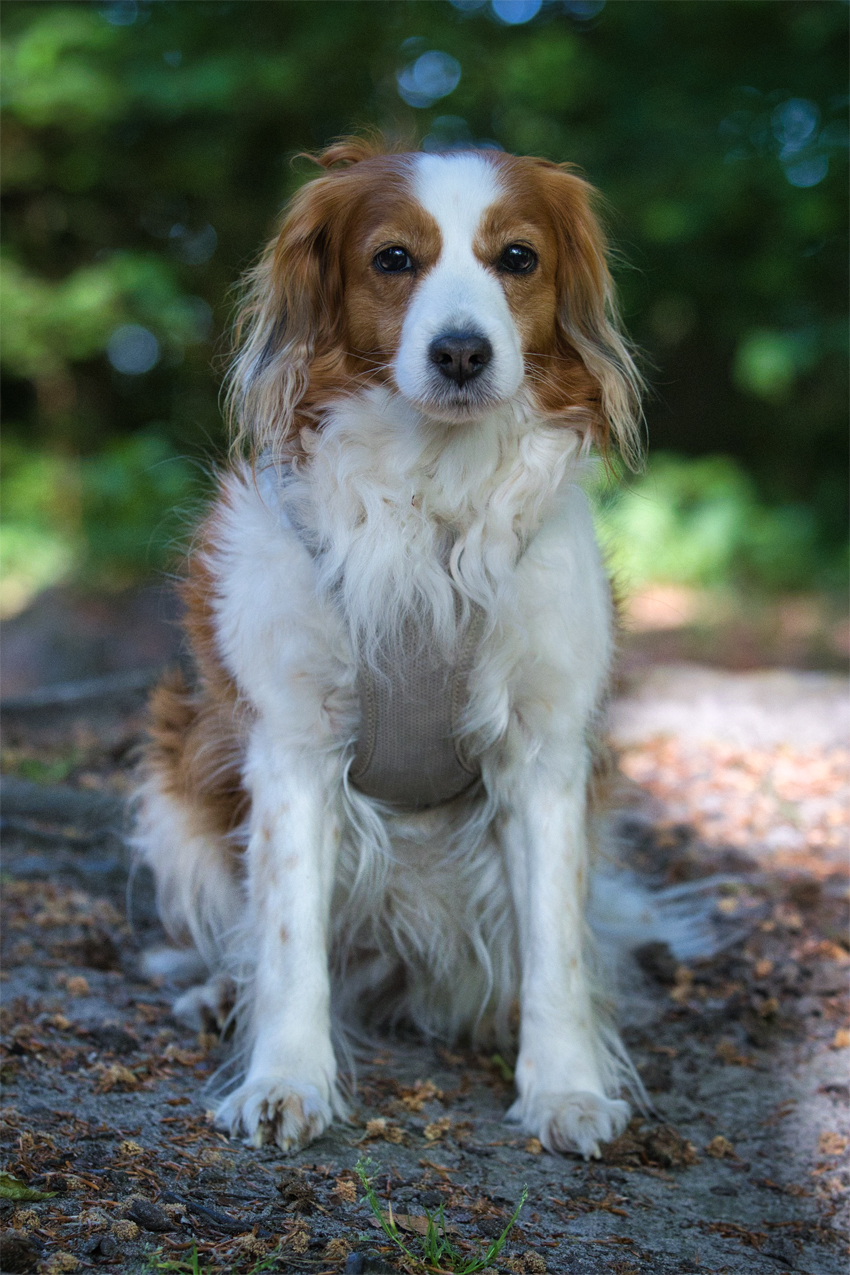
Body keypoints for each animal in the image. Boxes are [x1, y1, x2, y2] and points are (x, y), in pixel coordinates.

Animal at [138, 134, 644, 1162]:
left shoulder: (545, 755)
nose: (461, 351)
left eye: (518, 257)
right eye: (393, 259)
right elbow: (288, 939)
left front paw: (565, 1085)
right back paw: (219, 994)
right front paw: (286, 1079)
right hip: (177, 774)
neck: (435, 507)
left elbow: (558, 948)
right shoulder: (292, 743)